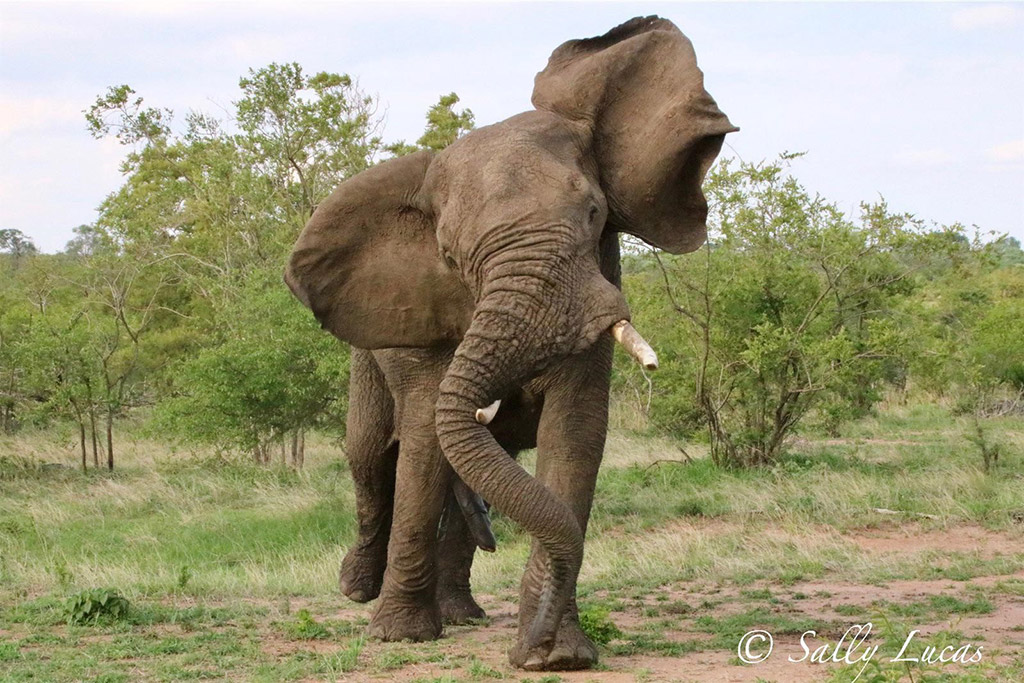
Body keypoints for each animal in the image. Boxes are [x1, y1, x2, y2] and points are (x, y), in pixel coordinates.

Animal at [286, 17, 737, 671]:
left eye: (595, 213)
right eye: (449, 255)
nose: (537, 643)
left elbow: (573, 438)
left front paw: (558, 657)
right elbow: (424, 441)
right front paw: (399, 637)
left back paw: (461, 615)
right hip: (364, 361)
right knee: (369, 458)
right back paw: (359, 589)